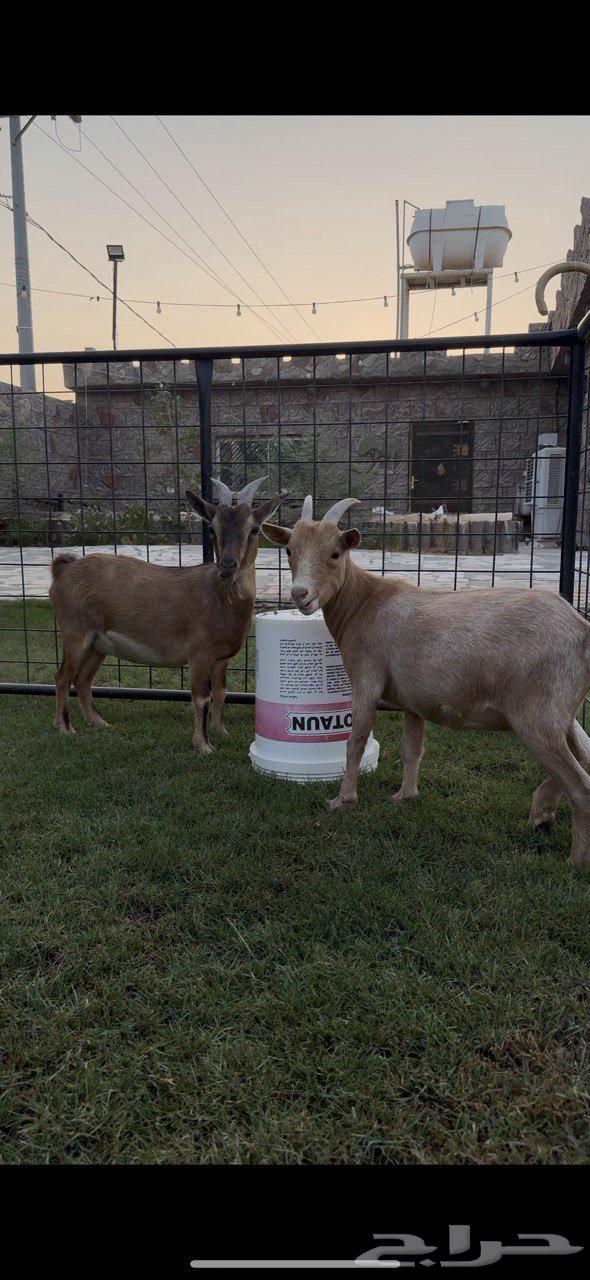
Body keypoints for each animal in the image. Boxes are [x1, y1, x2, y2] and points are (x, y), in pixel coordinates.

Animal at [49, 477, 286, 750]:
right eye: (212, 529)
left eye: (254, 529)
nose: (228, 566)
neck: (219, 598)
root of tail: (63, 571)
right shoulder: (199, 654)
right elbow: (202, 697)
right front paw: (203, 745)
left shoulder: (221, 659)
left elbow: (221, 693)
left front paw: (221, 732)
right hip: (75, 634)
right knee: (63, 676)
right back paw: (64, 728)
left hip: (98, 644)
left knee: (83, 678)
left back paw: (98, 722)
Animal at [263, 495, 590, 865]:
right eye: (289, 550)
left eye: (335, 553)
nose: (300, 594)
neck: (364, 603)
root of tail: (582, 629)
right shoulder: (412, 700)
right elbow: (411, 748)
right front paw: (405, 795)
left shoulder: (366, 678)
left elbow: (355, 740)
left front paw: (343, 799)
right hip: (563, 712)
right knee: (580, 760)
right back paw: (541, 813)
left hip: (537, 714)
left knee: (580, 783)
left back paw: (575, 859)